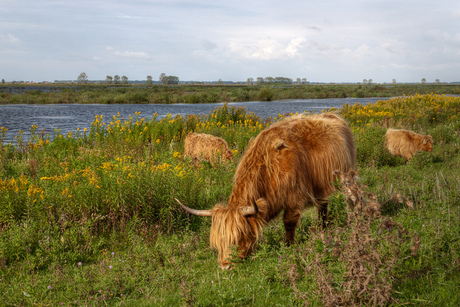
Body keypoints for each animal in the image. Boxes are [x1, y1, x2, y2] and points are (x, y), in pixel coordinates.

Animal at [175, 113, 356, 270]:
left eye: (238, 238)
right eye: (218, 242)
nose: (225, 266)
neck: (269, 168)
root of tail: (334, 116)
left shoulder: (294, 198)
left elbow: (289, 223)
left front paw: (289, 246)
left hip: (347, 178)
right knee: (323, 206)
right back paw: (323, 228)